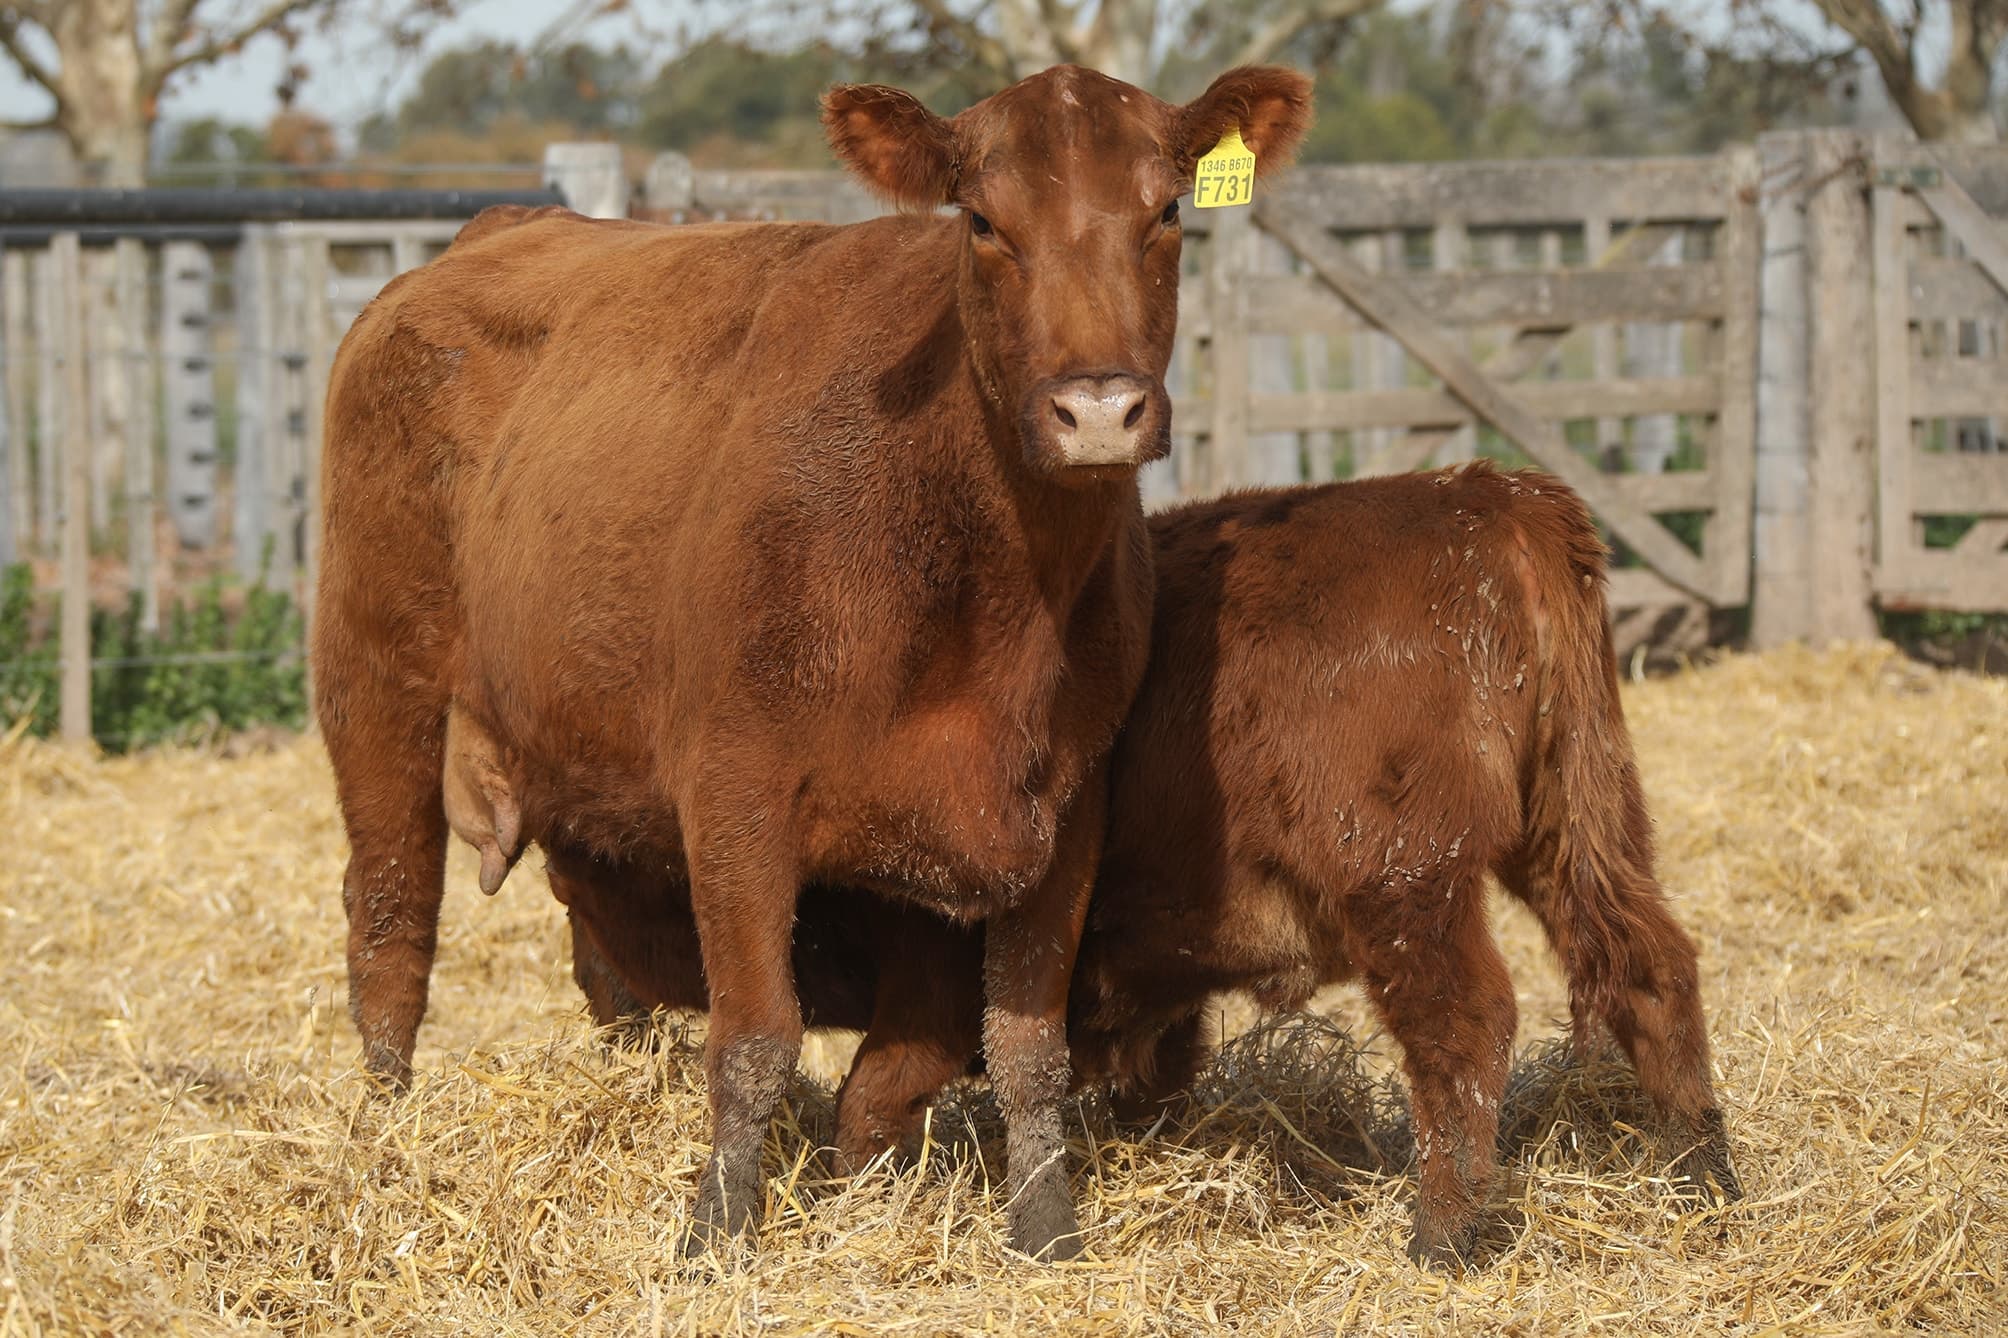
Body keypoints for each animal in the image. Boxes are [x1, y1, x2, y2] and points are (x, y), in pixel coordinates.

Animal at [312, 63, 1315, 1261]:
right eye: (982, 222)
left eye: (1167, 213)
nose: (1099, 409)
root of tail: (499, 230)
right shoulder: (734, 793)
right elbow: (755, 1037)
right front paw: (716, 1234)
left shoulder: (1062, 807)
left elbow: (1014, 1046)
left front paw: (1043, 1228)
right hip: (375, 680)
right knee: (389, 918)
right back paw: (382, 1131)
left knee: (595, 953)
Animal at [550, 463, 1742, 1268]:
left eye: (583, 888)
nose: (601, 1002)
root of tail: (1495, 498)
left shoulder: (933, 981)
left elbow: (872, 1100)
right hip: (1579, 833)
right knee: (1649, 966)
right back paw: (1706, 1180)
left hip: (1408, 886)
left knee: (1468, 1024)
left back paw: (1441, 1234)